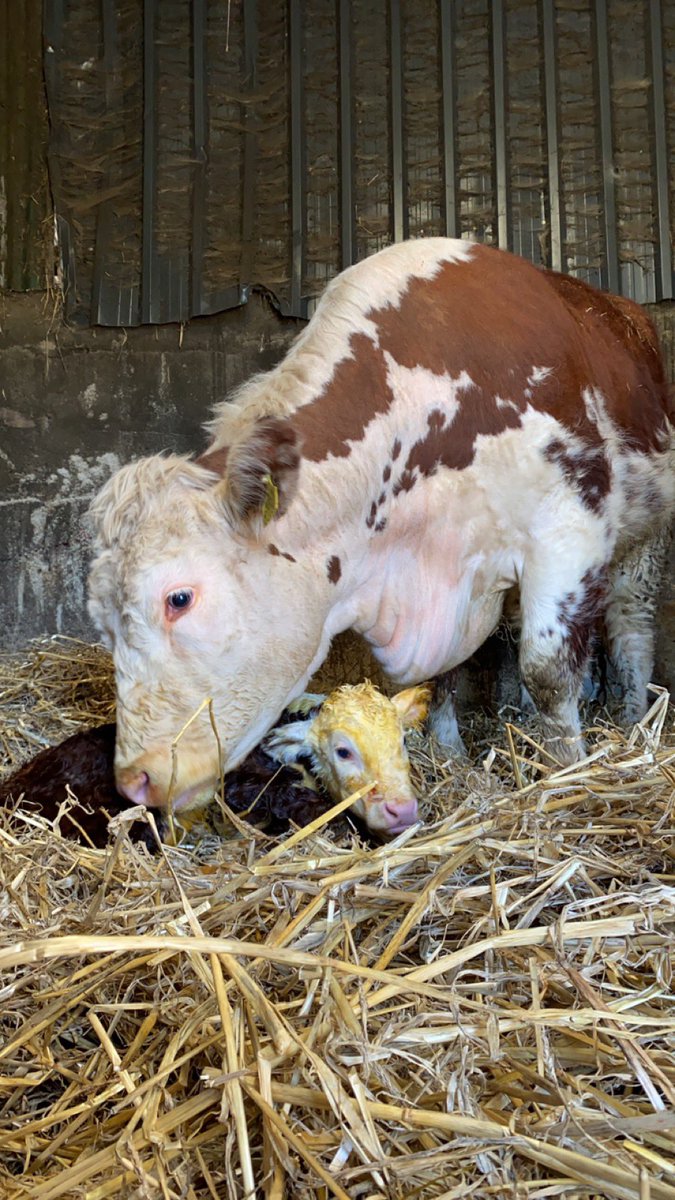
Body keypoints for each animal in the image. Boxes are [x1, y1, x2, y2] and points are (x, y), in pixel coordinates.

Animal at [88, 238, 672, 830]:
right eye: (101, 622)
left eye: (178, 598)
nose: (135, 780)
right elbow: (440, 677)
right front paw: (449, 753)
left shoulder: (568, 532)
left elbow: (548, 671)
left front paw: (563, 767)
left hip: (644, 539)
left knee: (630, 628)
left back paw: (630, 720)